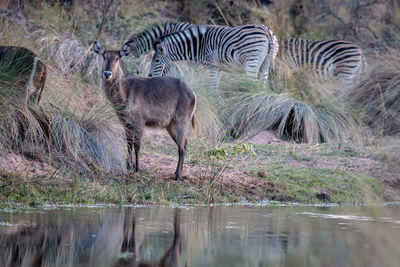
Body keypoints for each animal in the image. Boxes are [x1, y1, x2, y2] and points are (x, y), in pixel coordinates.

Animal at [92, 40, 195, 181]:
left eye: (117, 58)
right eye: (104, 56)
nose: (107, 73)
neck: (125, 94)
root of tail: (193, 94)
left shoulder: (140, 120)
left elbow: (137, 144)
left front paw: (137, 168)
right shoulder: (126, 122)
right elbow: (129, 143)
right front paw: (128, 166)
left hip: (182, 120)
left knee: (182, 146)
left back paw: (178, 176)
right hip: (170, 125)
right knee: (184, 143)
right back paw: (175, 172)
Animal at [147, 23, 278, 96]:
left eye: (157, 61)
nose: (149, 77)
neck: (198, 45)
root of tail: (267, 32)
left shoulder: (211, 67)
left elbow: (212, 89)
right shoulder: (217, 68)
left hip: (251, 62)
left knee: (254, 86)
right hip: (266, 63)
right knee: (262, 85)